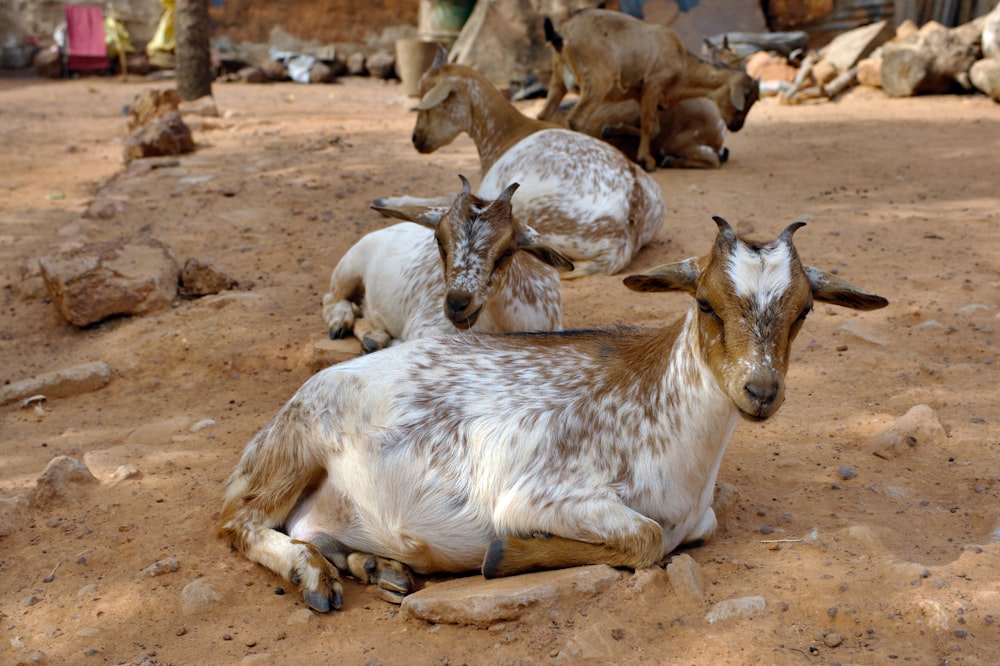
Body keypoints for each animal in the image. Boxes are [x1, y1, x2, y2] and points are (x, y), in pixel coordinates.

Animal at [221, 215, 892, 608]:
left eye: (804, 310)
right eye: (705, 303)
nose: (761, 390)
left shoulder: (699, 519)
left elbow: (677, 535)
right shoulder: (538, 494)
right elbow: (647, 539)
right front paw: (502, 557)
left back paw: (373, 565)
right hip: (292, 449)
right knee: (237, 523)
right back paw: (315, 577)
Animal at [320, 176, 572, 352]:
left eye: (508, 251)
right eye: (438, 239)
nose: (457, 304)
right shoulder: (423, 326)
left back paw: (373, 338)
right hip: (349, 268)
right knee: (331, 299)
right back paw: (341, 323)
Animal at [540, 8, 756, 171]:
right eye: (745, 97)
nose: (737, 126)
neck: (682, 61)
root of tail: (562, 35)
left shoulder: (640, 94)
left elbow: (653, 129)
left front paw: (613, 130)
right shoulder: (654, 86)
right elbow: (650, 127)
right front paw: (648, 162)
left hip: (558, 81)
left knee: (543, 116)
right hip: (596, 85)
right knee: (576, 120)